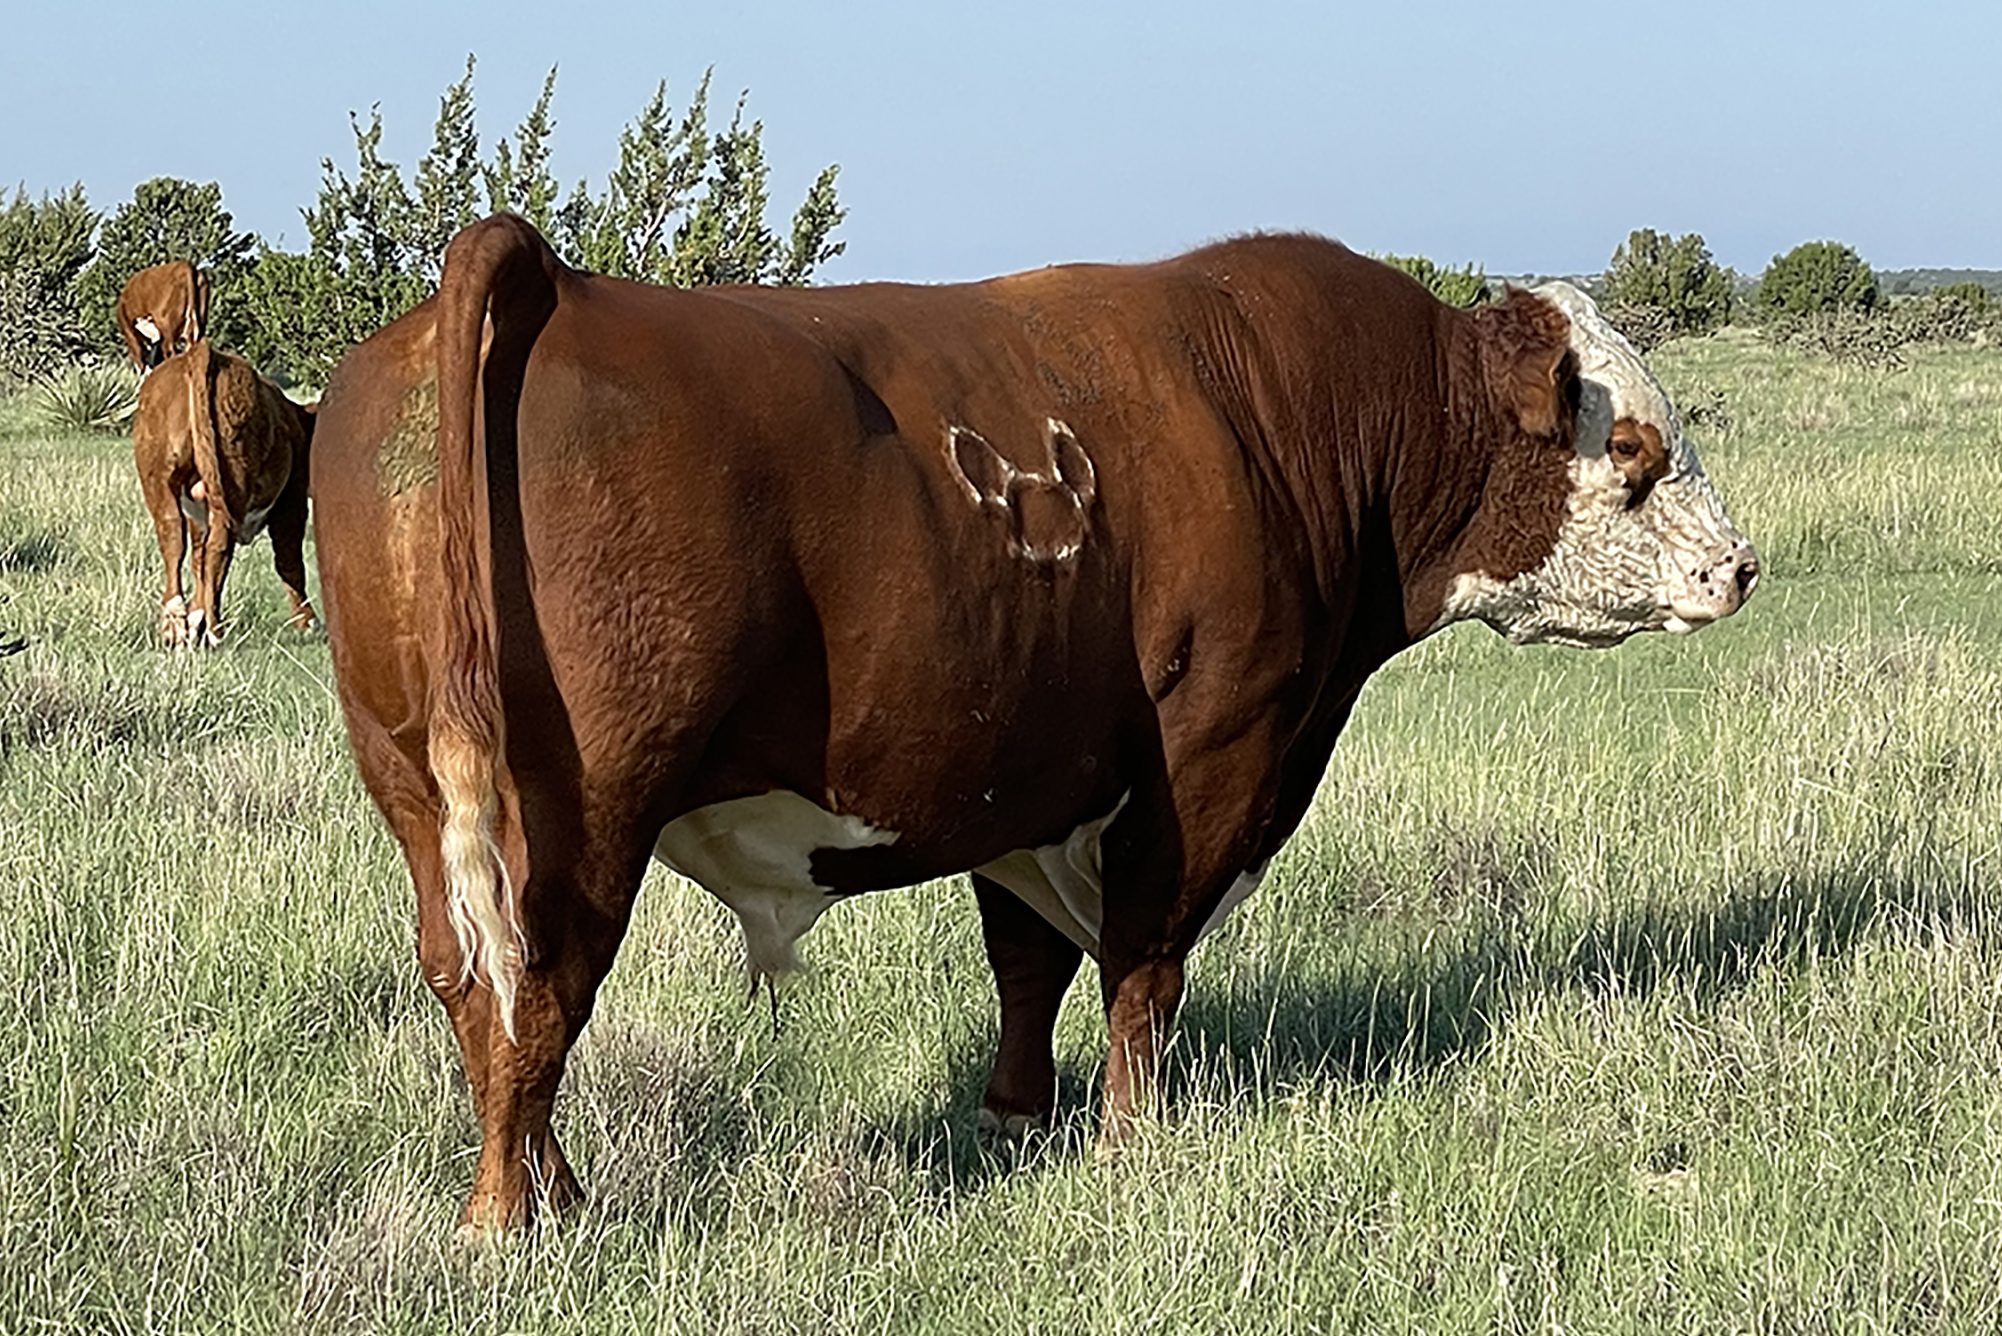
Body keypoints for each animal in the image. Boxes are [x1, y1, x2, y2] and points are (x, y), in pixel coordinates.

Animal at [132, 340, 315, 647]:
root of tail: (202, 353)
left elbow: (196, 556)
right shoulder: (292, 499)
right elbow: (289, 561)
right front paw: (307, 622)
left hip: (159, 477)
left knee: (173, 536)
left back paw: (177, 625)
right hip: (234, 481)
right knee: (218, 547)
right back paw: (214, 629)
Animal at [310, 213, 1756, 1232]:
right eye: (1630, 450)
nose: (1737, 567)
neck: (1290, 415)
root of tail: (556, 281)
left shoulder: (1028, 777)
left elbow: (1028, 961)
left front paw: (1014, 1118)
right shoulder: (1207, 762)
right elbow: (1142, 966)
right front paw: (1132, 1143)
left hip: (418, 790)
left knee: (469, 980)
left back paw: (552, 1191)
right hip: (579, 810)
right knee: (538, 991)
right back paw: (512, 1222)